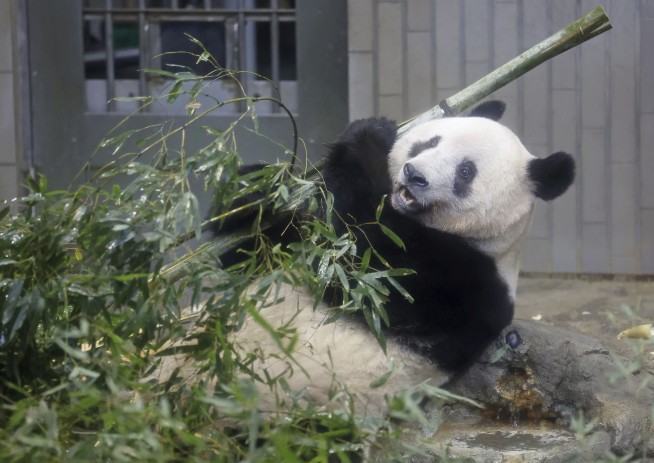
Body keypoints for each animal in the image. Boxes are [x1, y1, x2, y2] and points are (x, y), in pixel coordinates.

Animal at [207, 101, 575, 415]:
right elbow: (258, 249)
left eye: (465, 172)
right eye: (430, 143)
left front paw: (371, 136)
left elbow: (363, 268)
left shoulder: (465, 286)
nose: (414, 174)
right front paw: (256, 190)